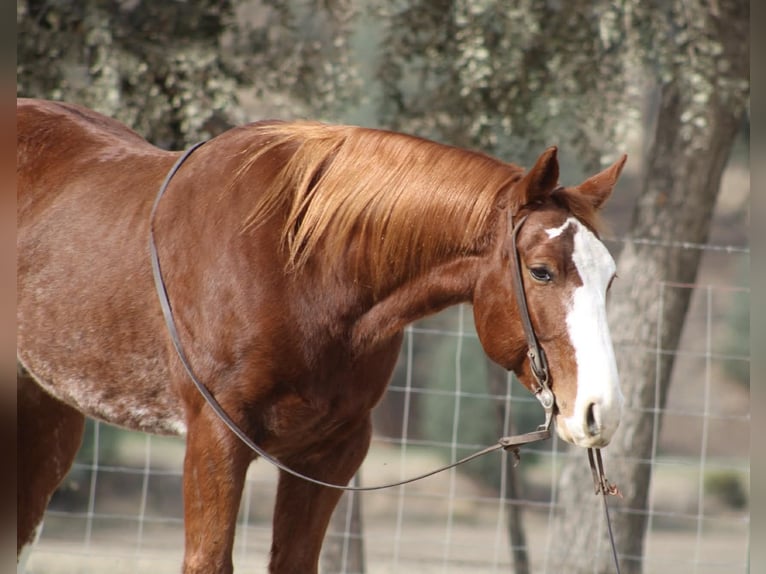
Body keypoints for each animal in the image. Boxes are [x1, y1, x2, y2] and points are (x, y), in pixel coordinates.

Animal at [17, 97, 626, 573]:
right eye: (541, 271)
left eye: (611, 278)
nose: (602, 409)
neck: (299, 269)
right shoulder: (215, 441)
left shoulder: (331, 451)